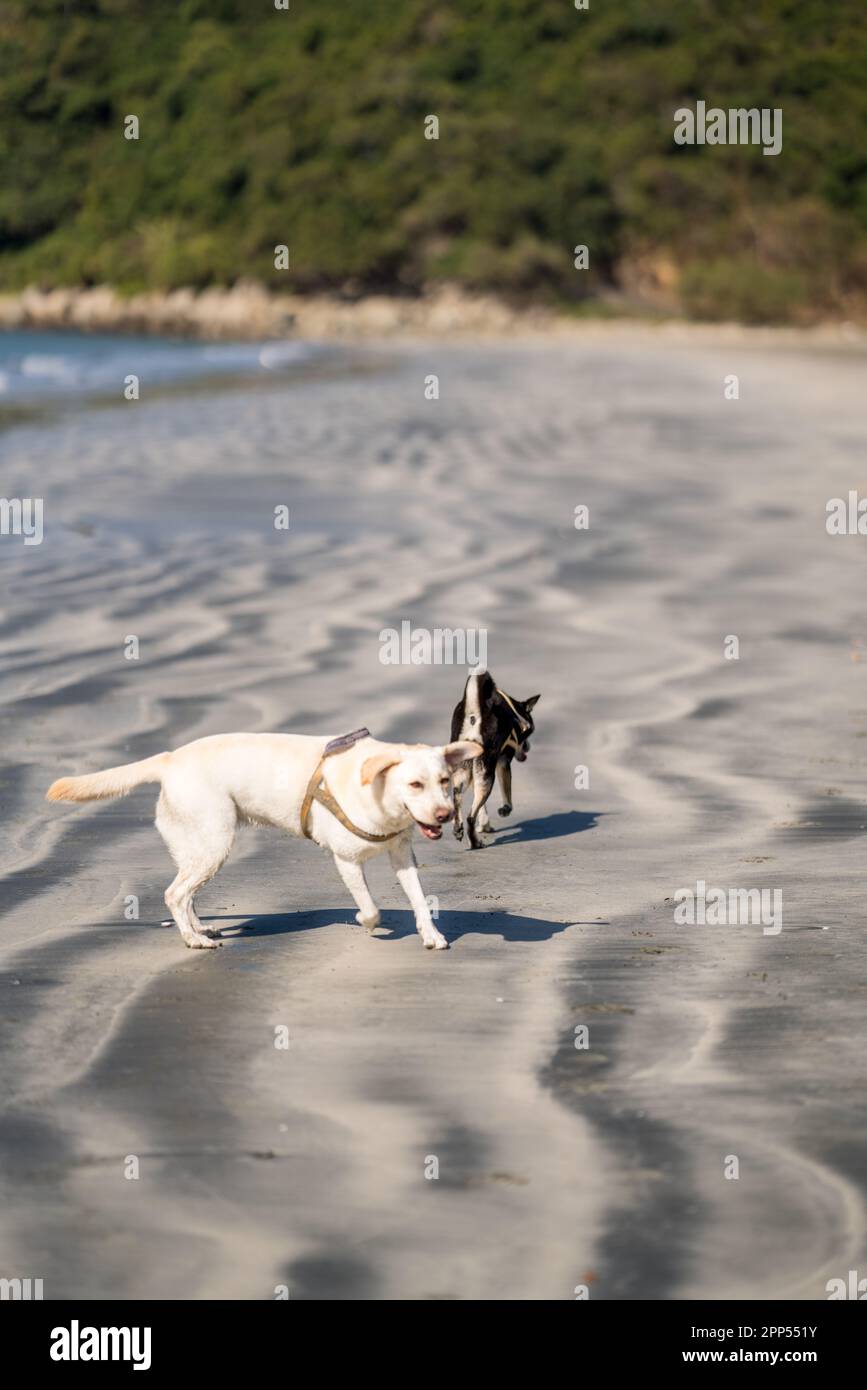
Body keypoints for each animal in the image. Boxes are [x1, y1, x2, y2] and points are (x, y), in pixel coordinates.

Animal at [47, 733, 480, 950]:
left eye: (445, 781)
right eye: (415, 784)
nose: (444, 815)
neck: (376, 791)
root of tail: (169, 759)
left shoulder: (402, 855)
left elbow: (420, 900)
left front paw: (431, 935)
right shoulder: (345, 860)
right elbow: (371, 909)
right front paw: (366, 922)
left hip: (197, 847)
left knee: (185, 895)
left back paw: (200, 929)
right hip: (215, 842)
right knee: (174, 894)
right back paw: (193, 940)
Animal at [450, 664, 539, 845]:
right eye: (528, 733)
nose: (527, 747)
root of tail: (474, 716)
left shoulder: (477, 773)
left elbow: (481, 807)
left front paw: (484, 826)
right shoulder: (503, 763)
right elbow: (507, 793)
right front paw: (505, 810)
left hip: (465, 772)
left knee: (458, 800)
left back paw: (459, 829)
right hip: (486, 772)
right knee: (470, 817)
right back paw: (475, 843)